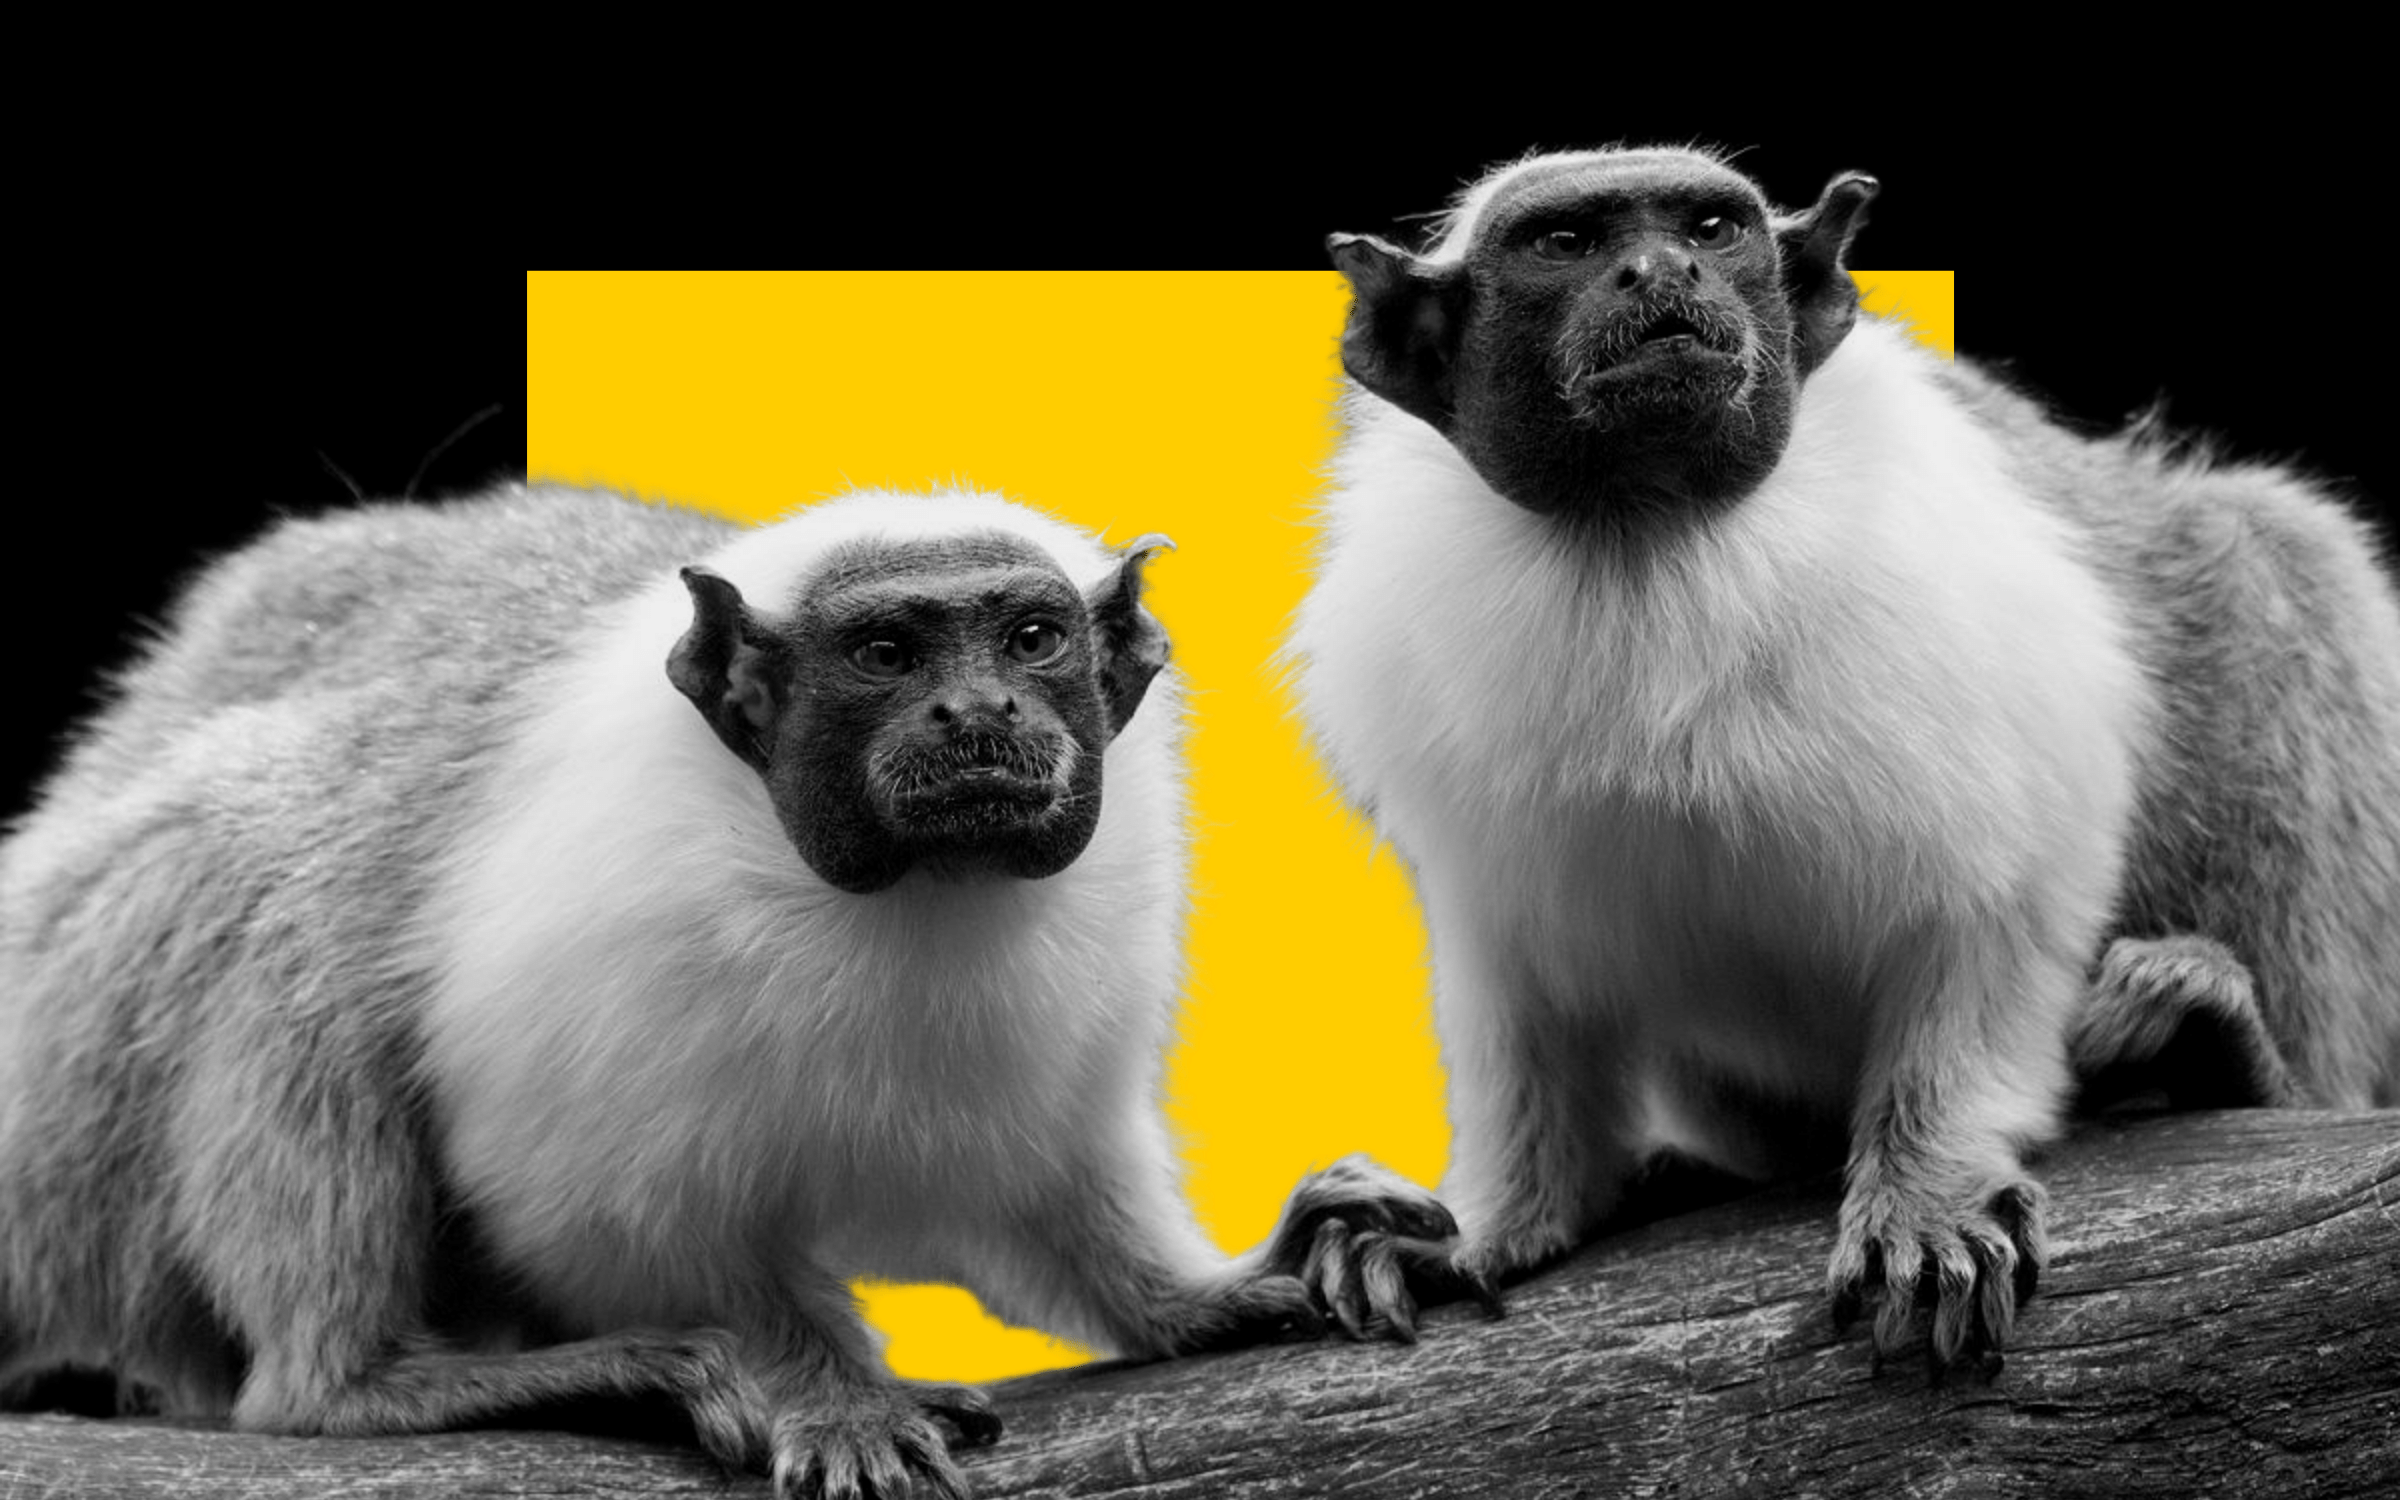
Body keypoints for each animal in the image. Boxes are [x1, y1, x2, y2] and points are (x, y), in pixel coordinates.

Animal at [0, 483, 1448, 1499]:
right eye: (886, 655)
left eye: (1032, 641)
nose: (979, 716)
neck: (912, 896)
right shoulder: (606, 934)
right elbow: (605, 1210)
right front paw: (825, 1387)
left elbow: (1038, 1187)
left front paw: (1199, 1295)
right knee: (266, 861)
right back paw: (375, 1382)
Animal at [1288, 144, 2400, 1373]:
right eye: (1566, 246)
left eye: (1710, 231)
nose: (1660, 273)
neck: (1648, 543)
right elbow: (1527, 1003)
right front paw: (1494, 1224)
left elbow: (2004, 904)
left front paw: (1929, 1191)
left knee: (2270, 564)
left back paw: (2229, 1056)